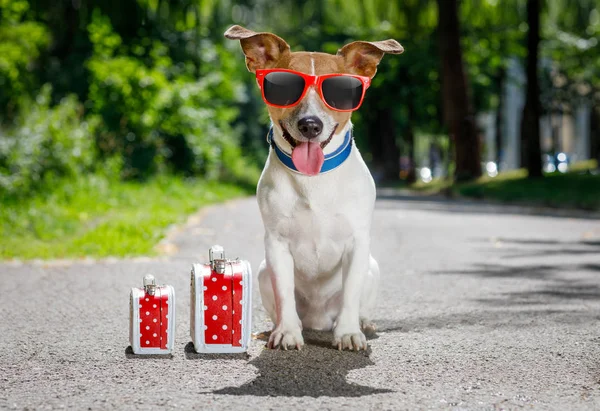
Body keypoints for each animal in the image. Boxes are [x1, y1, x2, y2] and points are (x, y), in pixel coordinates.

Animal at [225, 25, 404, 350]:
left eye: (340, 92)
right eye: (283, 87)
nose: (310, 125)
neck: (313, 179)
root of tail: (318, 321)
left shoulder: (357, 243)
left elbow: (351, 294)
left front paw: (348, 333)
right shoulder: (276, 244)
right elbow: (284, 293)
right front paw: (286, 333)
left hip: (372, 267)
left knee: (359, 303)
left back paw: (363, 323)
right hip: (262, 270)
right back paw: (276, 328)